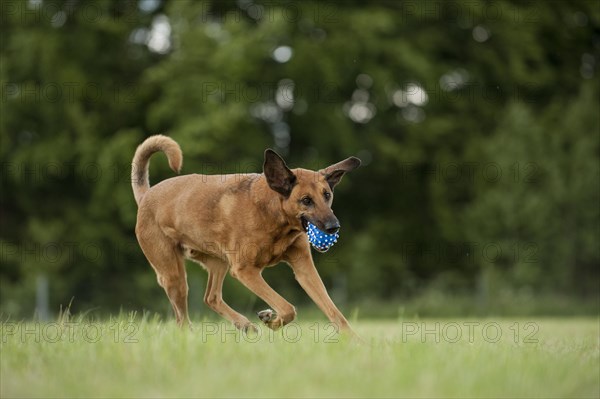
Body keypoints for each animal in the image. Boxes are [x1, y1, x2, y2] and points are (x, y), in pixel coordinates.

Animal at [131, 136, 360, 336]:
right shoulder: (245, 271)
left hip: (218, 263)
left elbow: (334, 312)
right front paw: (271, 320)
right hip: (174, 276)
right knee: (182, 319)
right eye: (306, 200)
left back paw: (244, 325)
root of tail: (146, 196)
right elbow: (287, 308)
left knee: (211, 298)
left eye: (327, 195)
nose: (334, 227)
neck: (274, 217)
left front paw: (356, 342)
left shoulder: (304, 269)